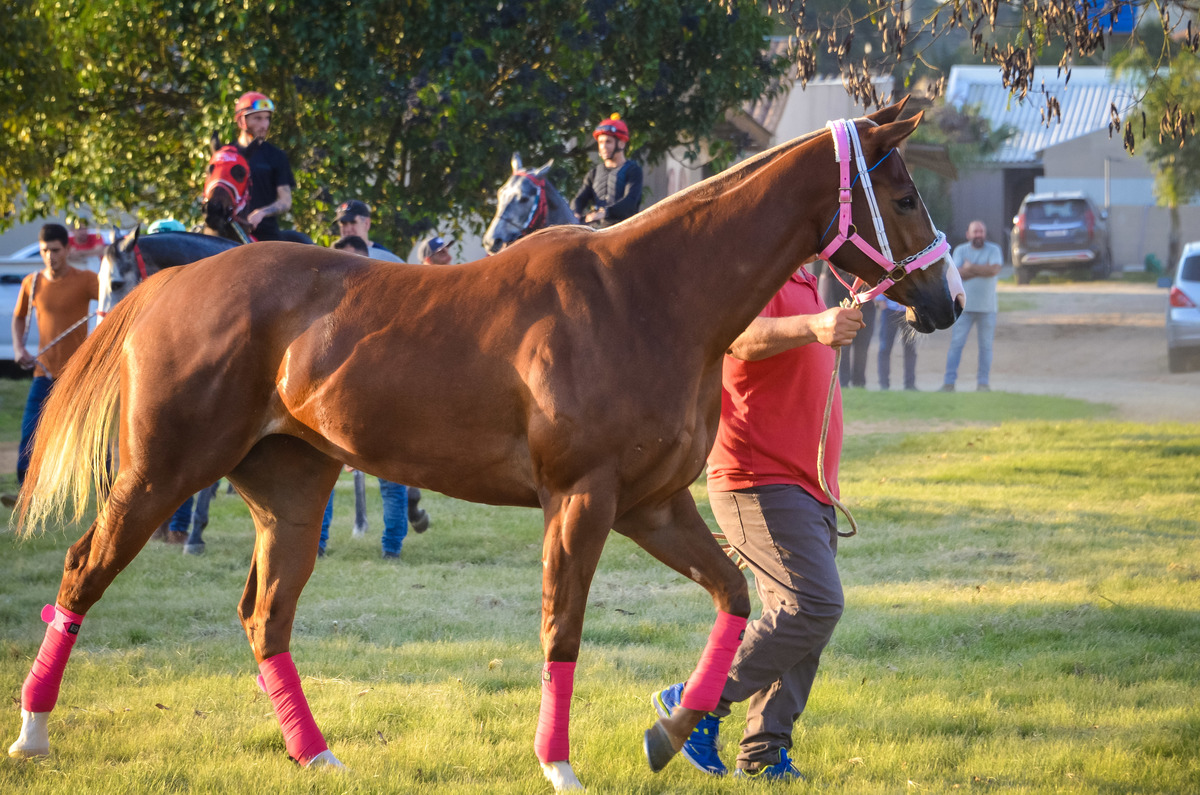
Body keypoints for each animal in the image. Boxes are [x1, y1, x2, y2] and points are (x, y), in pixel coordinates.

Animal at [9, 101, 964, 790]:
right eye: (906, 198)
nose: (947, 300)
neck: (649, 295)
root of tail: (174, 286)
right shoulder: (581, 499)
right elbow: (562, 627)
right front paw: (561, 763)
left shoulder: (653, 504)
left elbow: (733, 596)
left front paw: (668, 729)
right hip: (161, 471)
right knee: (82, 570)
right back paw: (32, 733)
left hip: (292, 491)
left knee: (264, 615)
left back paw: (317, 753)